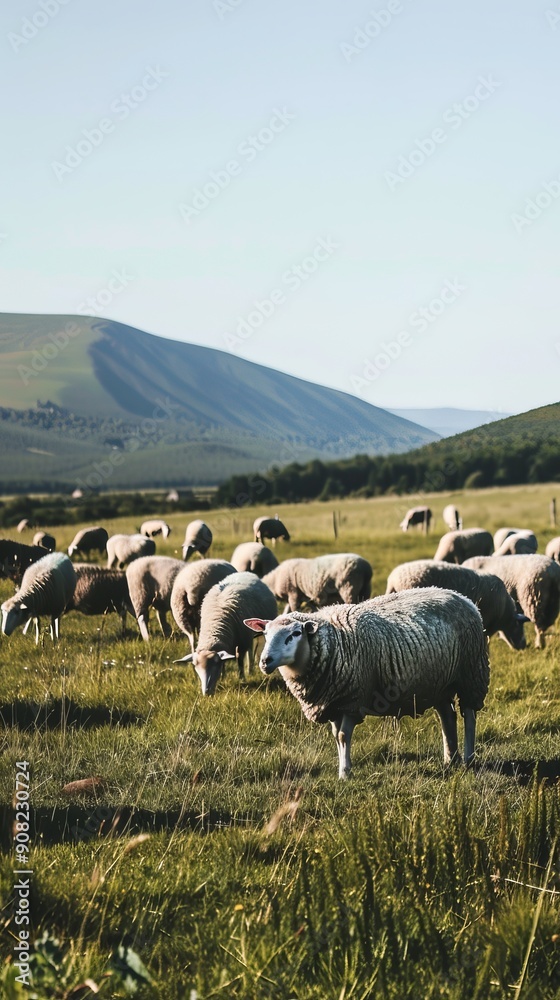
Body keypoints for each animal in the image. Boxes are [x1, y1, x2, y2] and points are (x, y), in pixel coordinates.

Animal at [246, 588, 489, 779]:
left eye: (295, 634)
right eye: (265, 634)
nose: (265, 661)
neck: (334, 642)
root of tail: (462, 597)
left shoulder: (352, 699)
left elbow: (343, 736)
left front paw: (345, 773)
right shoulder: (333, 701)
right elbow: (337, 737)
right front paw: (343, 768)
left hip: (471, 674)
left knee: (469, 715)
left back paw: (468, 758)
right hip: (439, 684)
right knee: (447, 716)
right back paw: (450, 758)